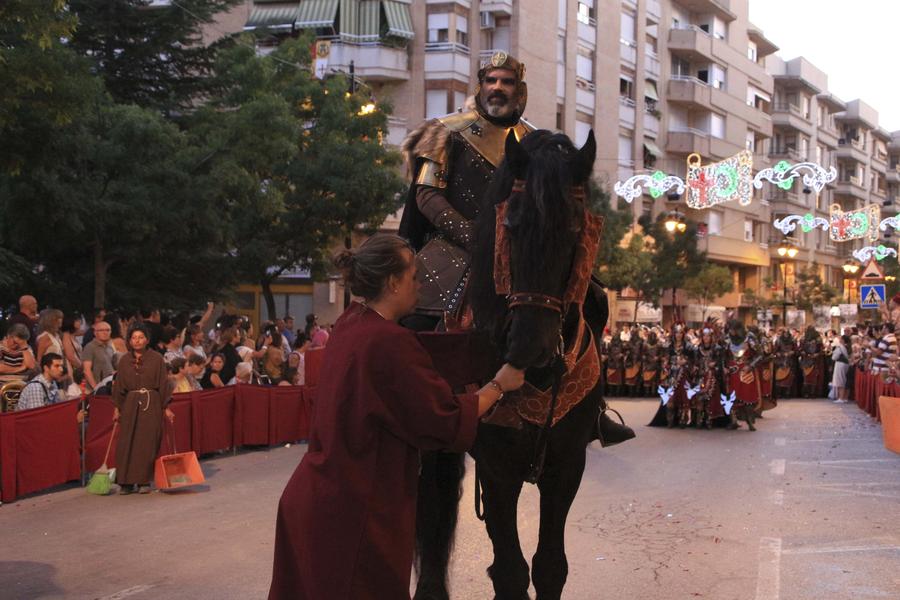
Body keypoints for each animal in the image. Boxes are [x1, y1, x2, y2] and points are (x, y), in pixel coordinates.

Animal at [414, 130, 608, 600]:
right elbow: (511, 572)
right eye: (511, 227)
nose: (528, 346)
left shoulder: (566, 465)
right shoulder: (497, 469)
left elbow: (550, 566)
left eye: (575, 231)